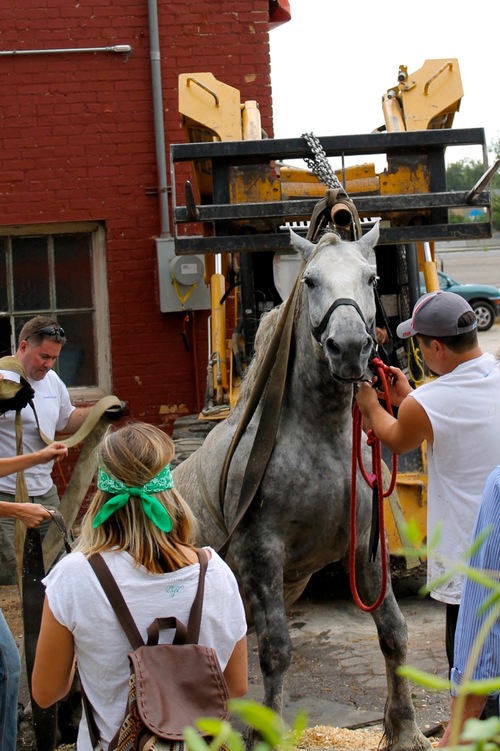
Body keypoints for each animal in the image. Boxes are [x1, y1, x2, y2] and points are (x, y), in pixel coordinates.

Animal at [172, 223, 430, 751]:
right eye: (309, 281)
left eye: (372, 278)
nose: (349, 347)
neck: (316, 439)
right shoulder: (260, 553)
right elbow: (276, 651)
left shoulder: (367, 547)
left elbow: (394, 632)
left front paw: (405, 730)